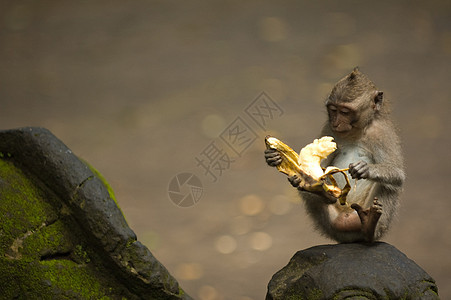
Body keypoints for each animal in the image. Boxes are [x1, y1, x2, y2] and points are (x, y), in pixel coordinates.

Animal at [264, 67, 406, 243]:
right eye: (333, 110)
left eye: (345, 112)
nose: (336, 122)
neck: (355, 131)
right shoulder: (329, 128)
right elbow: (322, 165)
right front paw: (273, 157)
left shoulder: (382, 133)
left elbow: (398, 175)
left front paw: (365, 169)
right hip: (329, 222)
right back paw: (319, 191)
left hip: (375, 222)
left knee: (388, 186)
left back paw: (369, 225)